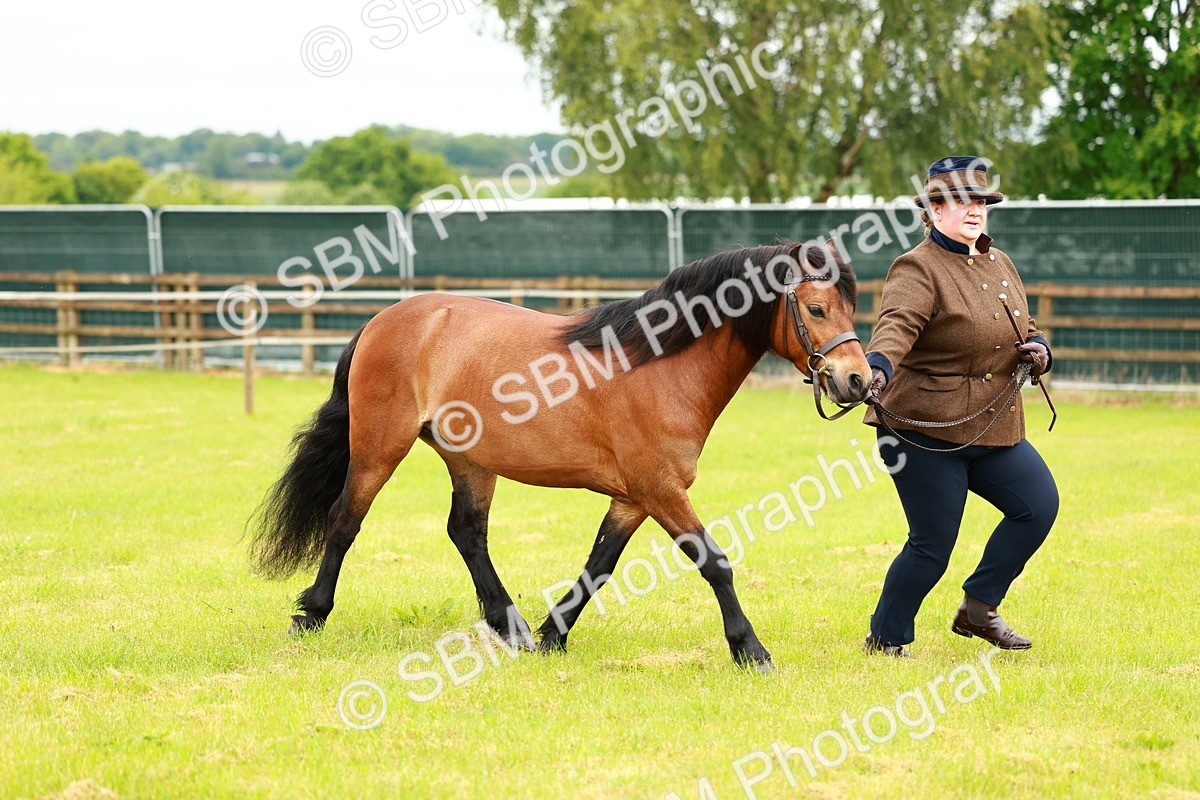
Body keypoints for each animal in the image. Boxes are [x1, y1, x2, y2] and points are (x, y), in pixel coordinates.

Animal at [249, 240, 871, 669]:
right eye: (817, 309)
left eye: (849, 307)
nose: (858, 380)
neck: (659, 365)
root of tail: (382, 320)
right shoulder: (660, 490)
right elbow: (714, 561)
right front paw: (750, 650)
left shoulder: (634, 499)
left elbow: (600, 565)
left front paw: (553, 635)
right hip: (380, 448)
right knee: (345, 520)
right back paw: (311, 613)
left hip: (471, 461)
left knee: (466, 532)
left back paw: (512, 627)